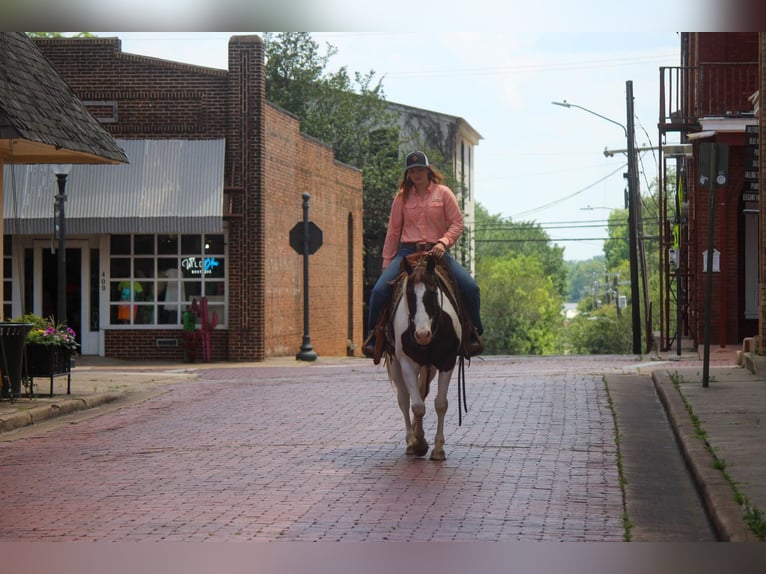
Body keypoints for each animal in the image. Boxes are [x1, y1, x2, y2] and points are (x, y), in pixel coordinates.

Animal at [388, 254, 464, 462]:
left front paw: (438, 449)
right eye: (409, 294)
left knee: (422, 392)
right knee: (404, 399)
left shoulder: (447, 361)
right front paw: (419, 443)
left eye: (432, 292)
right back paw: (410, 441)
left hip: (429, 367)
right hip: (396, 365)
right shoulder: (407, 364)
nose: (422, 335)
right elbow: (417, 406)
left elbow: (440, 404)